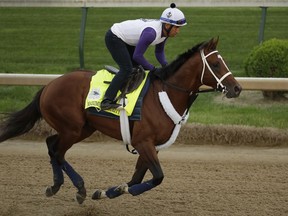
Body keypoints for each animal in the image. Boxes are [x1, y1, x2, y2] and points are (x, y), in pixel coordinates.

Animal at [0, 37, 241, 204]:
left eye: (224, 62)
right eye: (215, 64)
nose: (237, 88)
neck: (166, 92)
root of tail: (49, 85)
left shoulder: (151, 145)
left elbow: (138, 177)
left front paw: (107, 192)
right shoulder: (143, 142)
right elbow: (157, 177)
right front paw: (122, 190)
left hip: (83, 128)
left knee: (51, 145)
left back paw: (56, 186)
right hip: (72, 129)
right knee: (57, 151)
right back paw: (79, 189)